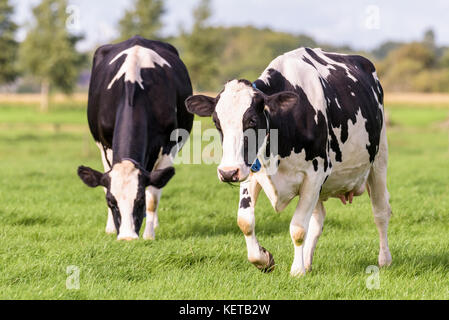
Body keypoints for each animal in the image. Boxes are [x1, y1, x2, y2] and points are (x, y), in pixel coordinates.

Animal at [77, 35, 192, 240]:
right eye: (111, 202)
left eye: (139, 201)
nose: (127, 238)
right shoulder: (106, 147)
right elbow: (105, 183)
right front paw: (112, 228)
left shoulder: (168, 147)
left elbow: (153, 197)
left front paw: (149, 235)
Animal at [184, 48, 390, 278]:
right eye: (216, 122)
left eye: (252, 120)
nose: (227, 172)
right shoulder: (249, 171)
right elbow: (245, 221)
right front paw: (264, 259)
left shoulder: (314, 174)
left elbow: (298, 227)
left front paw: (297, 271)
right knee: (318, 219)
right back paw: (308, 261)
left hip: (379, 160)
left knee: (381, 211)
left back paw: (384, 259)